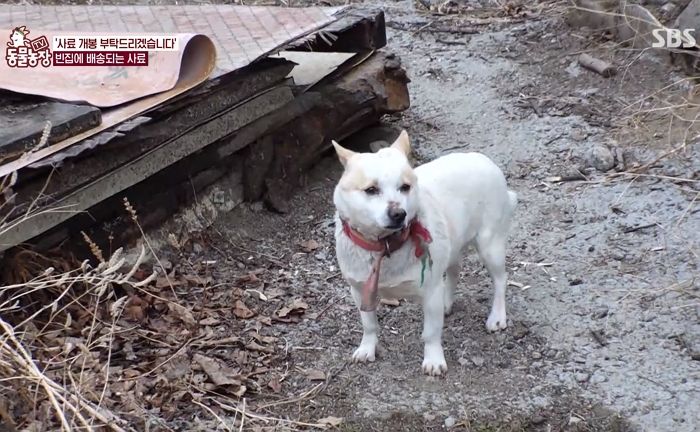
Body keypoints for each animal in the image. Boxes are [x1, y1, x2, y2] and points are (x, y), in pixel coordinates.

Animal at [330, 131, 516, 374]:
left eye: (405, 187)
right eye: (371, 190)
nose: (399, 213)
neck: (385, 245)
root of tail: (485, 159)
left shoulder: (430, 291)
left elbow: (431, 332)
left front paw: (433, 359)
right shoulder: (360, 291)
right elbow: (369, 324)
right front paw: (367, 348)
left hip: (489, 246)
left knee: (500, 279)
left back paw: (497, 316)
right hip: (453, 244)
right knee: (454, 270)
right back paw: (447, 303)